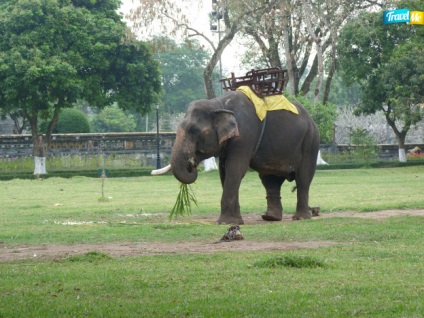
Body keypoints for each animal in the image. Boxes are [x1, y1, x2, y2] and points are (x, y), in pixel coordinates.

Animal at [157, 90, 320, 225]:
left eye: (193, 130)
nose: (191, 163)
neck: (218, 104)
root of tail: (311, 119)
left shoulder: (245, 135)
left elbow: (235, 169)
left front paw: (225, 222)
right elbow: (224, 173)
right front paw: (235, 221)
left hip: (310, 141)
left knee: (303, 178)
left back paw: (301, 218)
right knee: (270, 180)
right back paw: (270, 217)